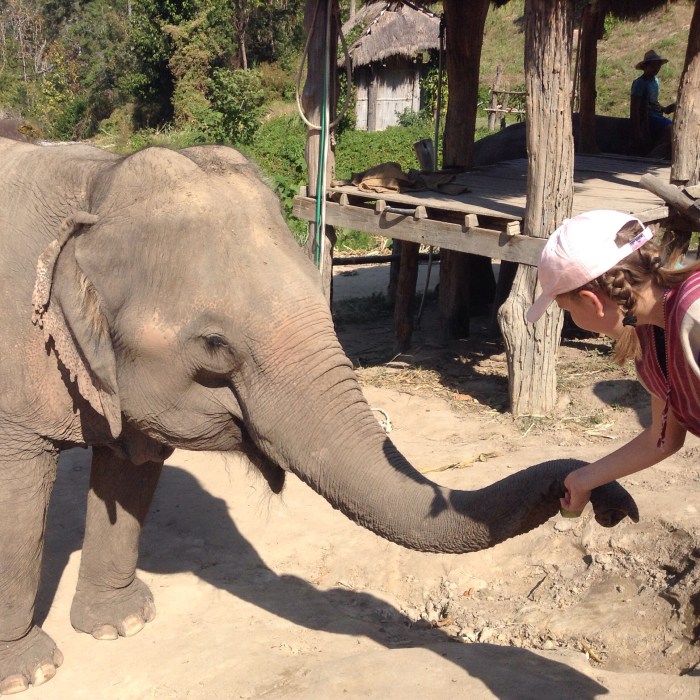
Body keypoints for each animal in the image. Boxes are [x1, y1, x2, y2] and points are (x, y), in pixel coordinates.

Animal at [0, 136, 639, 694]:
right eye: (214, 346)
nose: (613, 505)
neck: (94, 188)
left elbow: (131, 467)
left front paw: (123, 625)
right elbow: (18, 500)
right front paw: (30, 674)